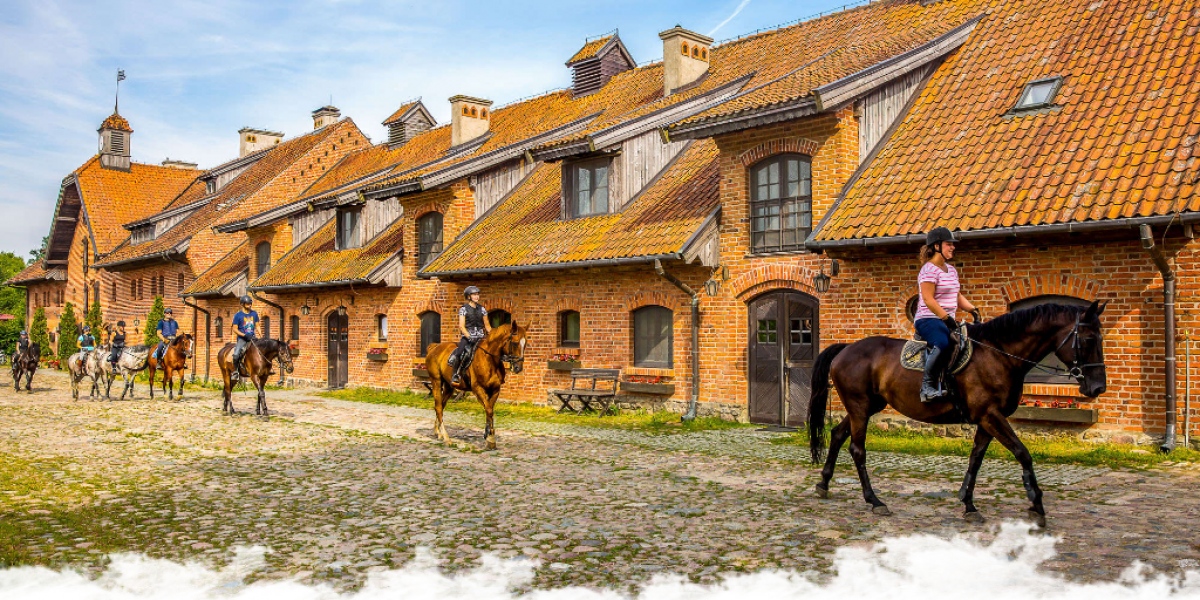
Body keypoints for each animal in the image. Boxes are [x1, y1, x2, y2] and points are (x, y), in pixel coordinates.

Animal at [807, 301, 1107, 528]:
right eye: (1089, 339)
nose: (1097, 387)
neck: (999, 356)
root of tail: (846, 348)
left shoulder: (987, 419)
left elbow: (976, 459)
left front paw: (969, 504)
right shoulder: (990, 415)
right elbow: (1023, 453)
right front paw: (1036, 504)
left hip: (867, 407)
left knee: (837, 435)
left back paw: (824, 483)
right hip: (860, 407)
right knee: (857, 449)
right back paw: (874, 500)